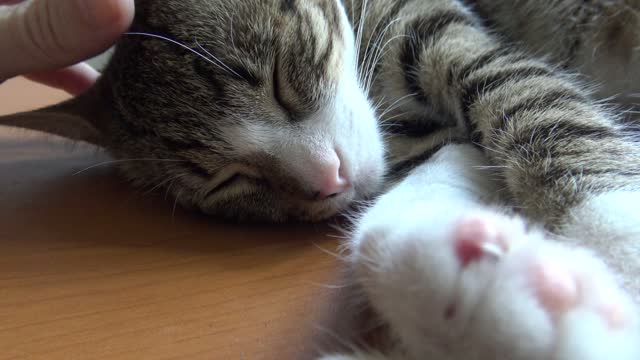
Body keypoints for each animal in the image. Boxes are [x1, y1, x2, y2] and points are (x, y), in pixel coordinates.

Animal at [1, 0, 640, 360]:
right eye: (228, 181)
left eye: (279, 80)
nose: (329, 179)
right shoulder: (429, 147)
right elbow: (385, 231)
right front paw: (510, 293)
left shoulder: (437, 24)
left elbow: (537, 100)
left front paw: (617, 242)